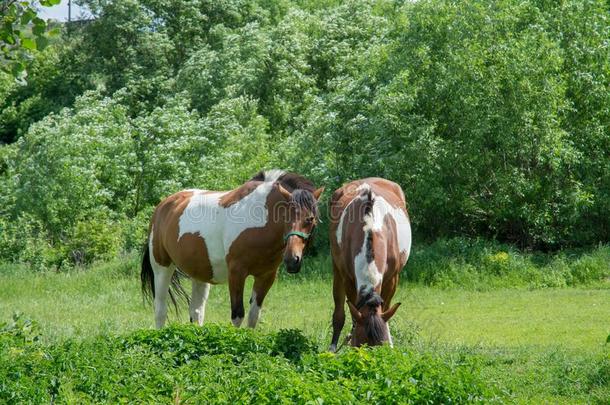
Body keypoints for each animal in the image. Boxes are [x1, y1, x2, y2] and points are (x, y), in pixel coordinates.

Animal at [141, 170, 324, 328]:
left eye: (310, 219)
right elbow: (237, 316)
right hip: (162, 268)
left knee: (196, 312)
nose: (292, 260)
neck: (258, 218)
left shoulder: (266, 277)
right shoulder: (237, 273)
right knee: (160, 310)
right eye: (285, 216)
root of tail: (162, 207)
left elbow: (253, 316)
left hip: (199, 273)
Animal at [328, 178, 408, 350]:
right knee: (338, 311)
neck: (371, 226)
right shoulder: (349, 279)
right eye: (360, 345)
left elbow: (386, 311)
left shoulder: (392, 279)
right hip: (337, 268)